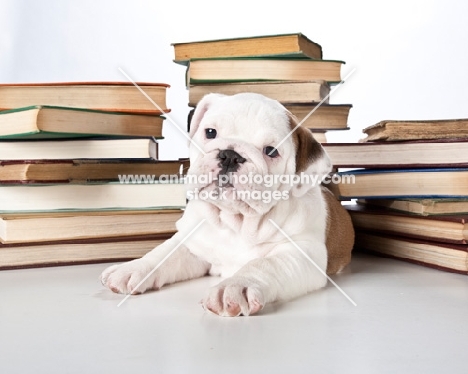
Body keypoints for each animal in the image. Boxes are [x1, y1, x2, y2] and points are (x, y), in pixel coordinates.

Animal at [99, 93, 354, 316]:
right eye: (210, 132)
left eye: (271, 151)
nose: (230, 155)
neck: (235, 222)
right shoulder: (193, 243)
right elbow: (165, 252)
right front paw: (133, 267)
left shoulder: (301, 253)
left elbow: (265, 264)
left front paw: (235, 286)